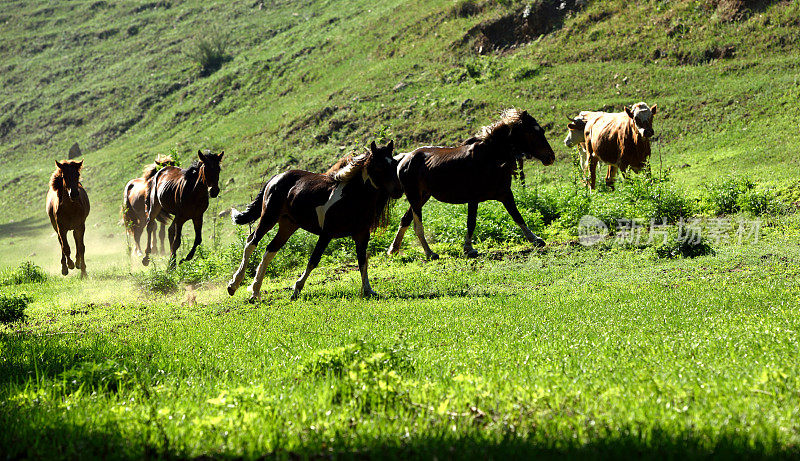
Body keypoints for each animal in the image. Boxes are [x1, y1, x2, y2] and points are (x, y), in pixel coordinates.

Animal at [227, 140, 404, 302]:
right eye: (379, 166)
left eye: (394, 163)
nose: (399, 191)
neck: (350, 198)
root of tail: (275, 178)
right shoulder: (326, 234)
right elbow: (313, 261)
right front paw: (296, 289)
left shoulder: (361, 235)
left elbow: (362, 262)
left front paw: (368, 290)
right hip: (269, 217)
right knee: (251, 243)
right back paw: (233, 286)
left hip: (288, 224)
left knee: (270, 250)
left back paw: (255, 292)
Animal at [390, 108, 556, 258]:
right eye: (532, 132)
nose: (551, 157)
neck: (490, 157)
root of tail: (404, 159)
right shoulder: (474, 198)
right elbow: (472, 222)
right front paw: (469, 249)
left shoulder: (505, 194)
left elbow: (517, 216)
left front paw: (536, 239)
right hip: (414, 197)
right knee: (417, 226)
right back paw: (430, 253)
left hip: (423, 196)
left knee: (405, 220)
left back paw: (393, 250)